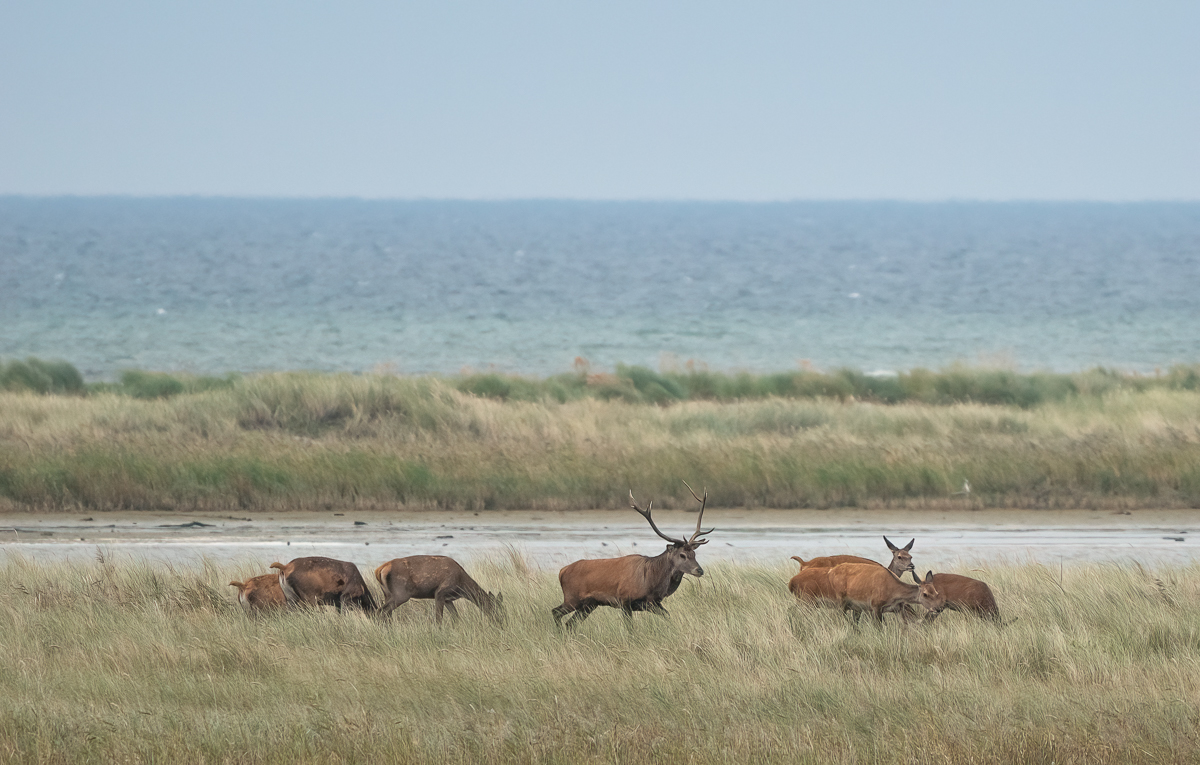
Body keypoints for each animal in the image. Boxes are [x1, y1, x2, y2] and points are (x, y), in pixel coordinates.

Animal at [376, 553, 504, 628]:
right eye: (496, 608)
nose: (502, 622)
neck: (462, 586)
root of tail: (379, 570)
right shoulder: (440, 593)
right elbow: (438, 619)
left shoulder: (448, 599)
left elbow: (456, 617)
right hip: (401, 594)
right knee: (381, 611)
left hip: (387, 594)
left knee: (386, 613)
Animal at [549, 484, 710, 628]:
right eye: (682, 555)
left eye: (694, 553)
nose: (699, 570)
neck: (651, 581)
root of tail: (562, 571)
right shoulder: (625, 600)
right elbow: (630, 628)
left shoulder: (652, 603)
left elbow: (668, 616)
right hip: (572, 598)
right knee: (555, 612)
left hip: (589, 604)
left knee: (570, 623)